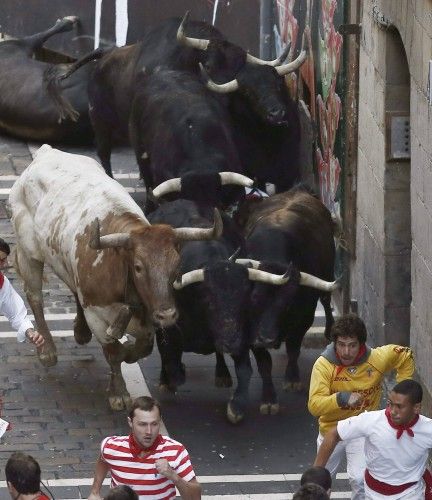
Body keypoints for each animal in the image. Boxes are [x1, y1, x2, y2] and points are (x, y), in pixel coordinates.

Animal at [8, 145, 221, 410]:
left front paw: (127, 353)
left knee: (72, 290)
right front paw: (118, 393)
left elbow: (141, 348)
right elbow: (112, 352)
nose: (168, 315)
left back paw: (80, 331)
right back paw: (47, 349)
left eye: (176, 264)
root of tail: (46, 152)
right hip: (28, 252)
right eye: (138, 267)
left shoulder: (147, 316)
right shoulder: (96, 312)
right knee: (35, 297)